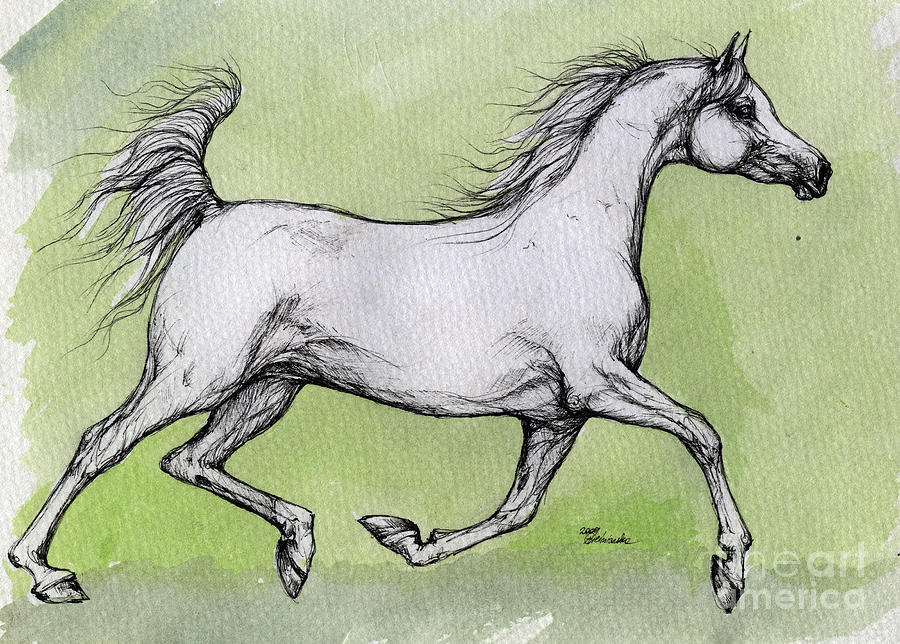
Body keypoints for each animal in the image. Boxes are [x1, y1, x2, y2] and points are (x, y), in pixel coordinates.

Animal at [9, 32, 831, 613]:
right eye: (746, 108)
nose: (818, 172)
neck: (577, 237)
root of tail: (214, 211)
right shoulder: (603, 385)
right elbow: (702, 432)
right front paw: (730, 571)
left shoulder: (557, 416)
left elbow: (516, 511)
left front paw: (403, 538)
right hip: (194, 375)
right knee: (102, 443)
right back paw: (44, 574)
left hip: (267, 389)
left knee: (188, 460)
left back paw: (298, 551)